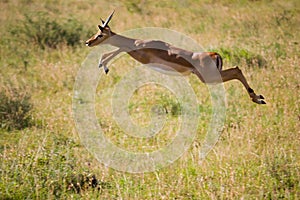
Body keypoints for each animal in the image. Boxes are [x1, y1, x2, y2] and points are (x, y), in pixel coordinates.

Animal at [85, 10, 266, 104]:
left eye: (100, 35)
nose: (88, 42)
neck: (139, 42)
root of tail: (214, 54)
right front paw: (104, 65)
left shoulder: (139, 54)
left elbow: (121, 47)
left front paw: (103, 65)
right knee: (237, 69)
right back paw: (259, 98)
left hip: (209, 78)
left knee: (237, 70)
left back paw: (257, 98)